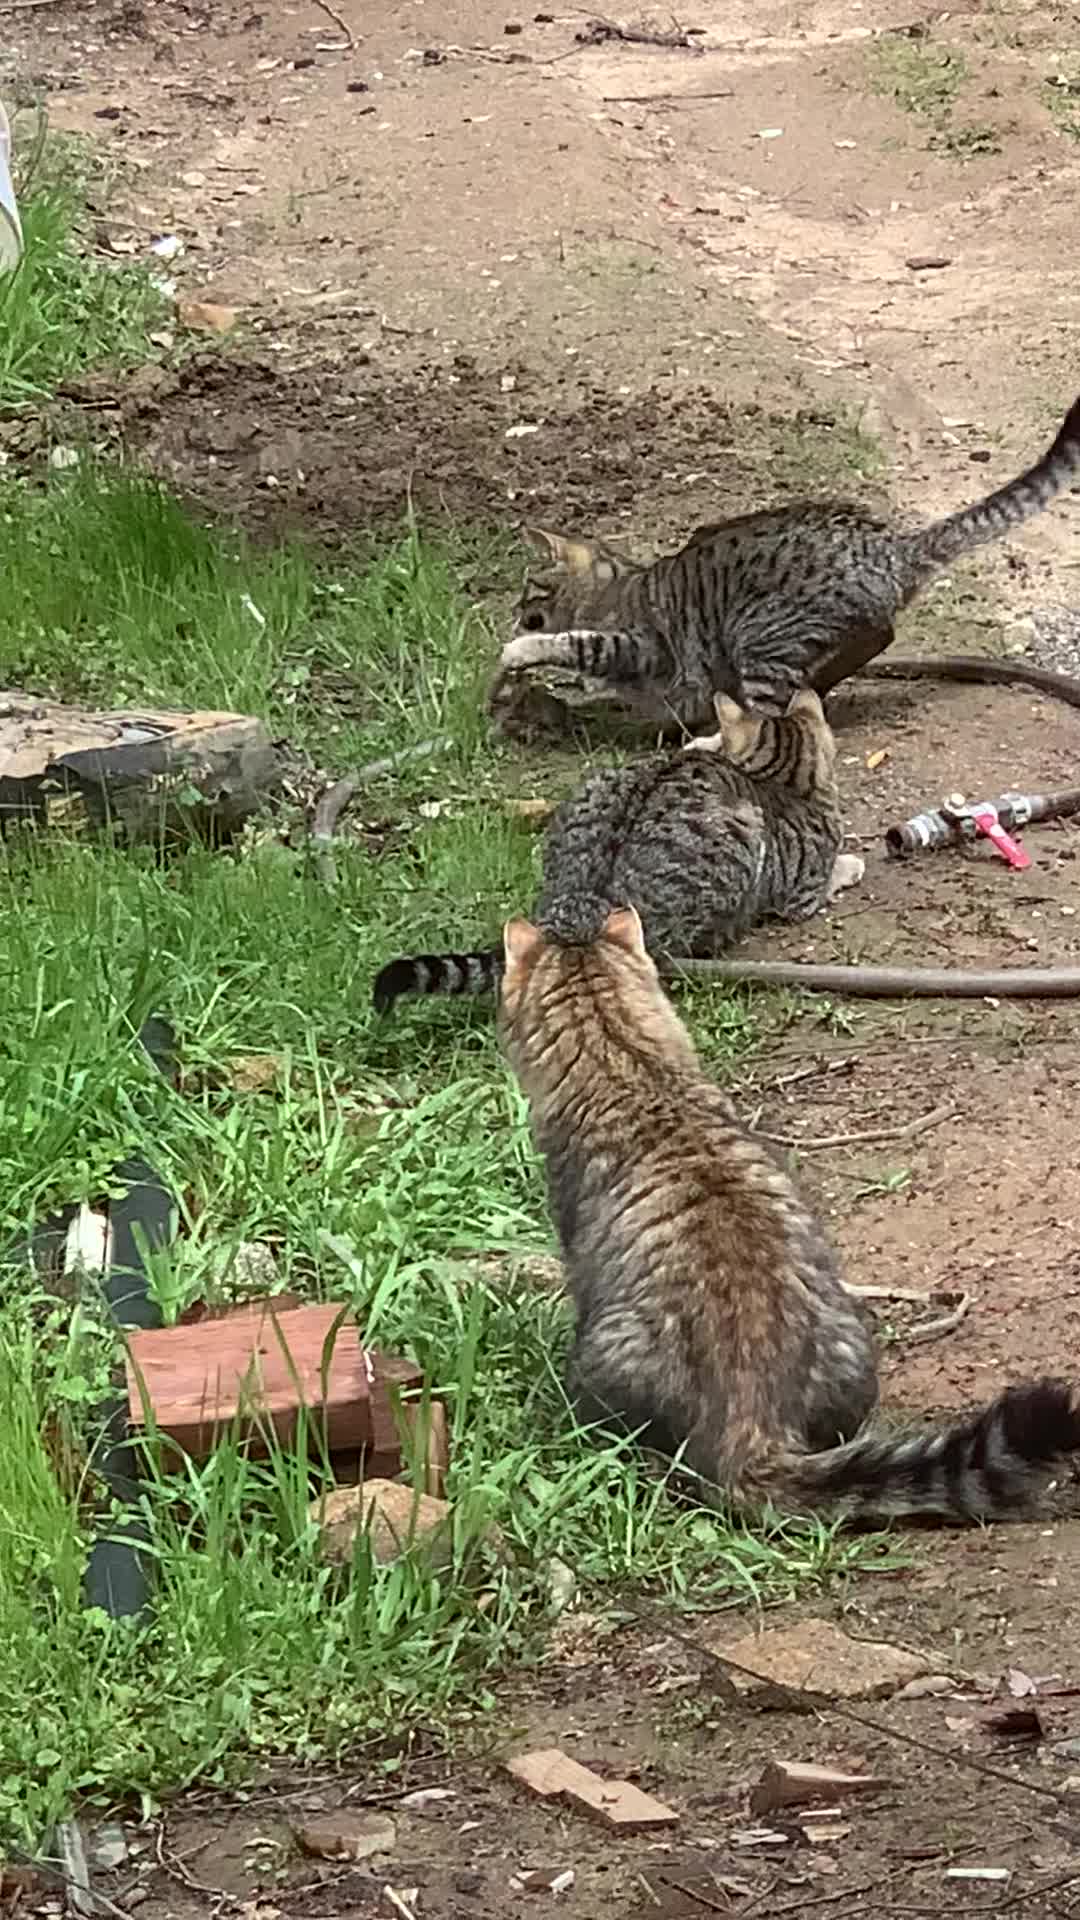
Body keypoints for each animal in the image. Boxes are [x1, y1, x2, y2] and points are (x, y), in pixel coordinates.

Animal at [372, 688, 861, 1015]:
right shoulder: (800, 894)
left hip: (596, 784)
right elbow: (830, 873)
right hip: (734, 849)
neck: (776, 776)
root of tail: (578, 903)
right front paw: (850, 864)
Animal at [489, 391, 1080, 728]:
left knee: (776, 710)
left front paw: (521, 651)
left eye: (528, 591)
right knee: (872, 639)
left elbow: (575, 644)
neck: (613, 586)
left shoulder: (641, 645)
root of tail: (892, 547)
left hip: (758, 633)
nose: (514, 613)